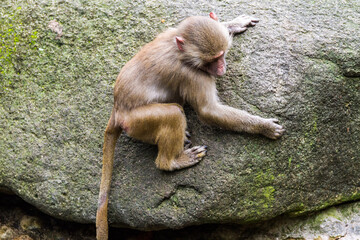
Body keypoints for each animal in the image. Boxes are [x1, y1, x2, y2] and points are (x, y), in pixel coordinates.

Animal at [95, 13, 284, 240]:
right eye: (213, 60)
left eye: (221, 55)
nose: (222, 68)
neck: (183, 52)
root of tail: (117, 109)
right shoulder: (193, 75)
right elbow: (209, 111)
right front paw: (264, 127)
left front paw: (233, 24)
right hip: (136, 122)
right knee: (173, 114)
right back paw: (172, 161)